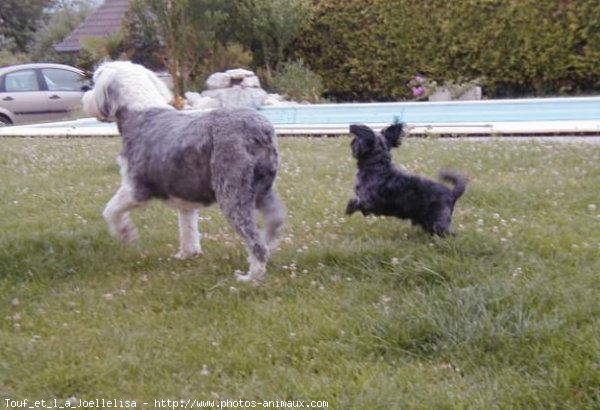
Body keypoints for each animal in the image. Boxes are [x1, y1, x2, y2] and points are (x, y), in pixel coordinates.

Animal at [82, 60, 286, 284]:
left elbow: (111, 210)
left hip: (232, 192)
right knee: (275, 220)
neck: (140, 112)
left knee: (254, 240)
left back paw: (251, 276)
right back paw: (268, 247)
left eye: (94, 82)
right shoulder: (184, 197)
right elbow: (188, 227)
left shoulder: (135, 188)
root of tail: (260, 130)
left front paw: (126, 233)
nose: (85, 97)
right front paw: (187, 254)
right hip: (263, 188)